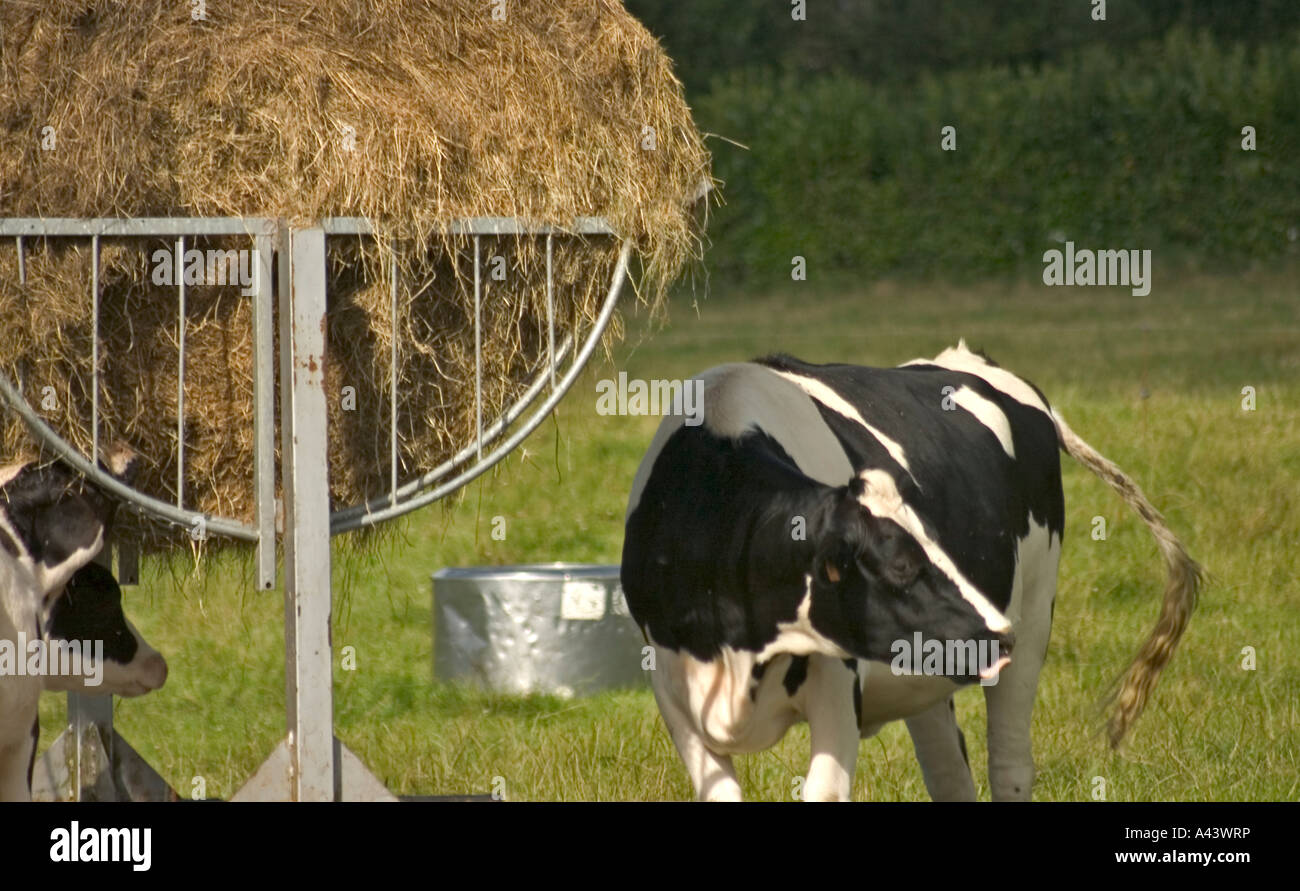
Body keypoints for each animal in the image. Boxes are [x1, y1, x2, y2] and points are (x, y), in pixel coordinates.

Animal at [621, 343, 1201, 801]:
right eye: (901, 566)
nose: (998, 632)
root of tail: (972, 361)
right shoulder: (672, 693)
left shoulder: (838, 682)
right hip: (931, 668)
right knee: (950, 776)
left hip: (1036, 613)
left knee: (1009, 767)